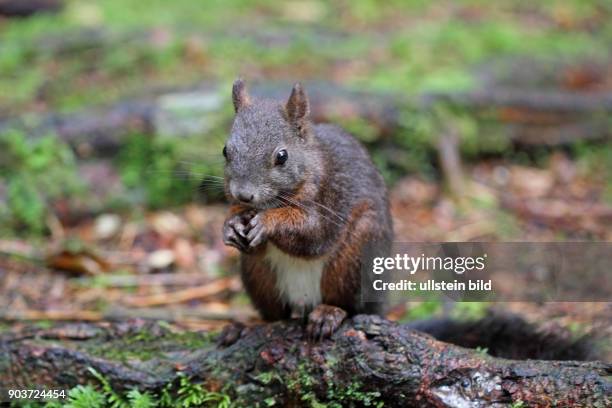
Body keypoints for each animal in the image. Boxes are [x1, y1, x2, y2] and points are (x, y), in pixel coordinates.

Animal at [220, 78, 392, 340]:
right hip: (259, 277)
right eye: (225, 151)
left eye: (282, 156)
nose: (243, 194)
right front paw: (230, 225)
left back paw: (329, 314)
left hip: (356, 256)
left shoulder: (329, 199)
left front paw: (268, 222)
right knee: (274, 315)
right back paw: (244, 327)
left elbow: (312, 234)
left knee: (350, 306)